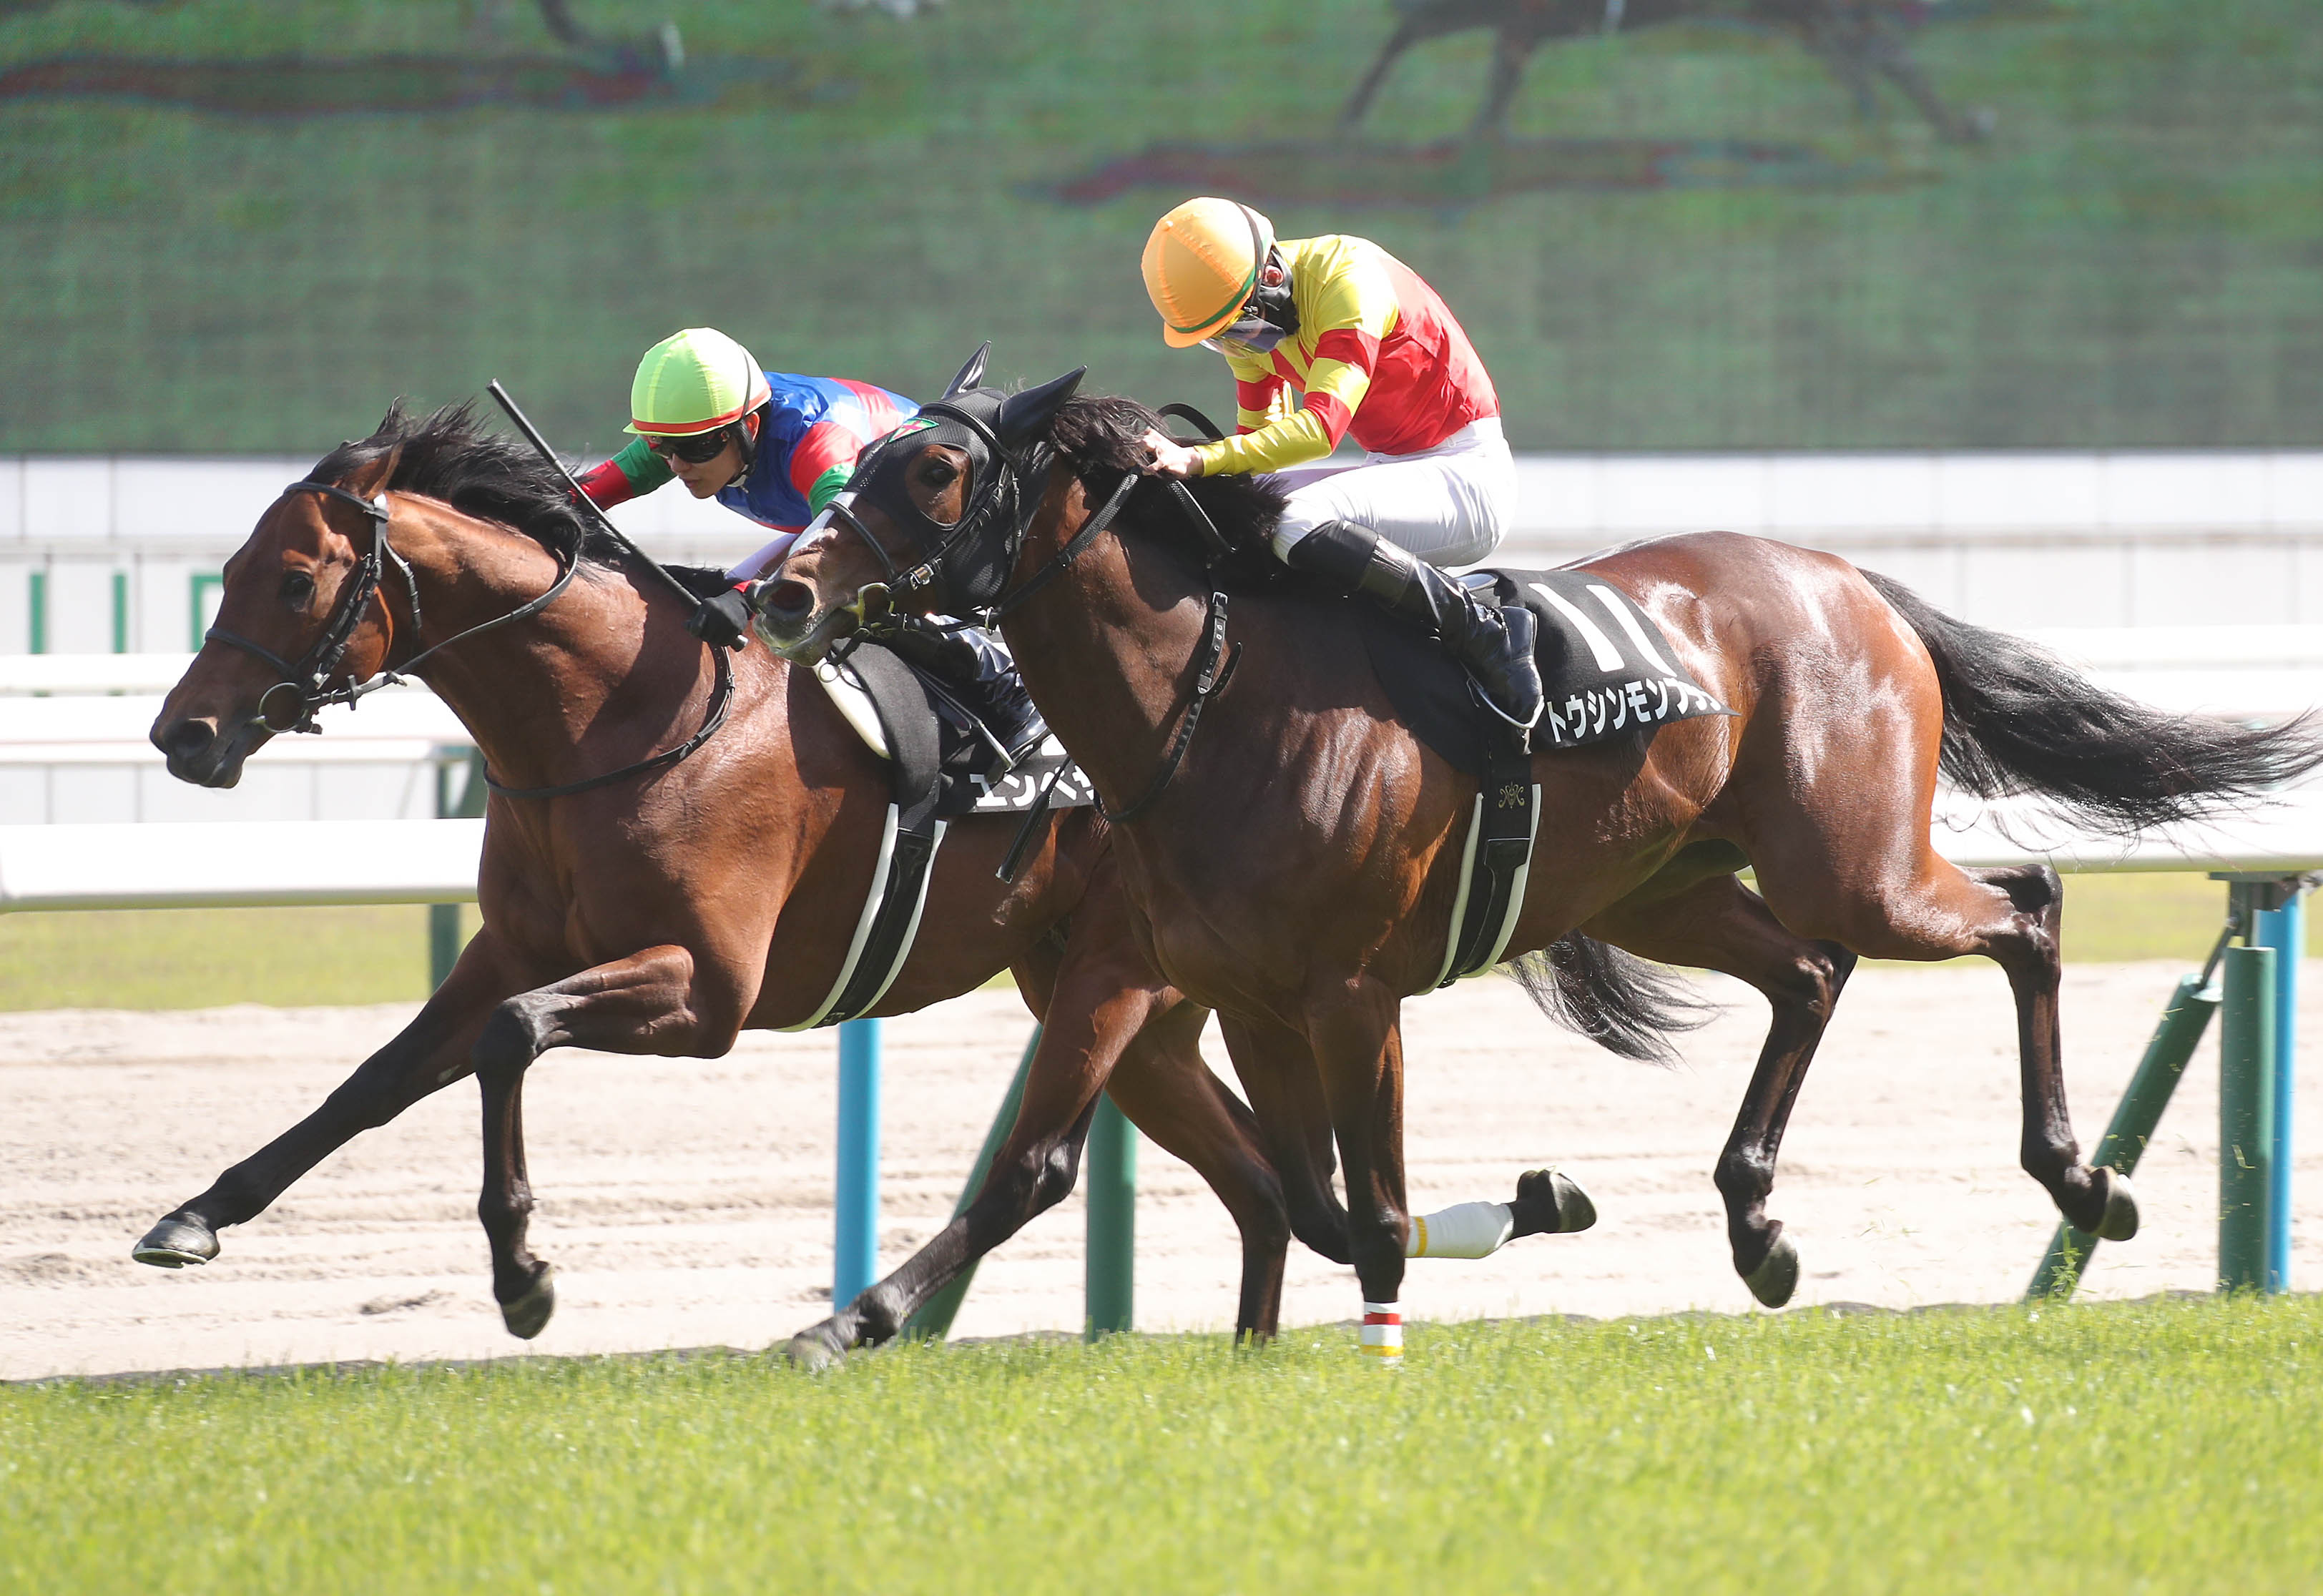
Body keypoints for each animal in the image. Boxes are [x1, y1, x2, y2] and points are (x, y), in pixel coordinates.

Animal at [133, 400, 1353, 1348]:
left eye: (297, 581)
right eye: (230, 570)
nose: (182, 736)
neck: (615, 718)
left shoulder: (709, 990)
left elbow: (511, 1038)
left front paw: (524, 1278)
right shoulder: (515, 947)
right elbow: (379, 1077)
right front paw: (194, 1216)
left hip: (1113, 976)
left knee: (1059, 1166)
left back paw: (853, 1322)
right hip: (1121, 996)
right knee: (1262, 1185)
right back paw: (1251, 1352)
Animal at [753, 368, 2323, 1349]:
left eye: (936, 468)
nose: (783, 591)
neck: (1207, 704)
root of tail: (1848, 580)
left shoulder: (1349, 995)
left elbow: (1373, 1212)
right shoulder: (1206, 987)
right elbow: (1233, 1191)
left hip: (1853, 862)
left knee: (2024, 909)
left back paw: (2081, 1181)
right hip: (1670, 886)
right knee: (1810, 975)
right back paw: (1755, 1224)